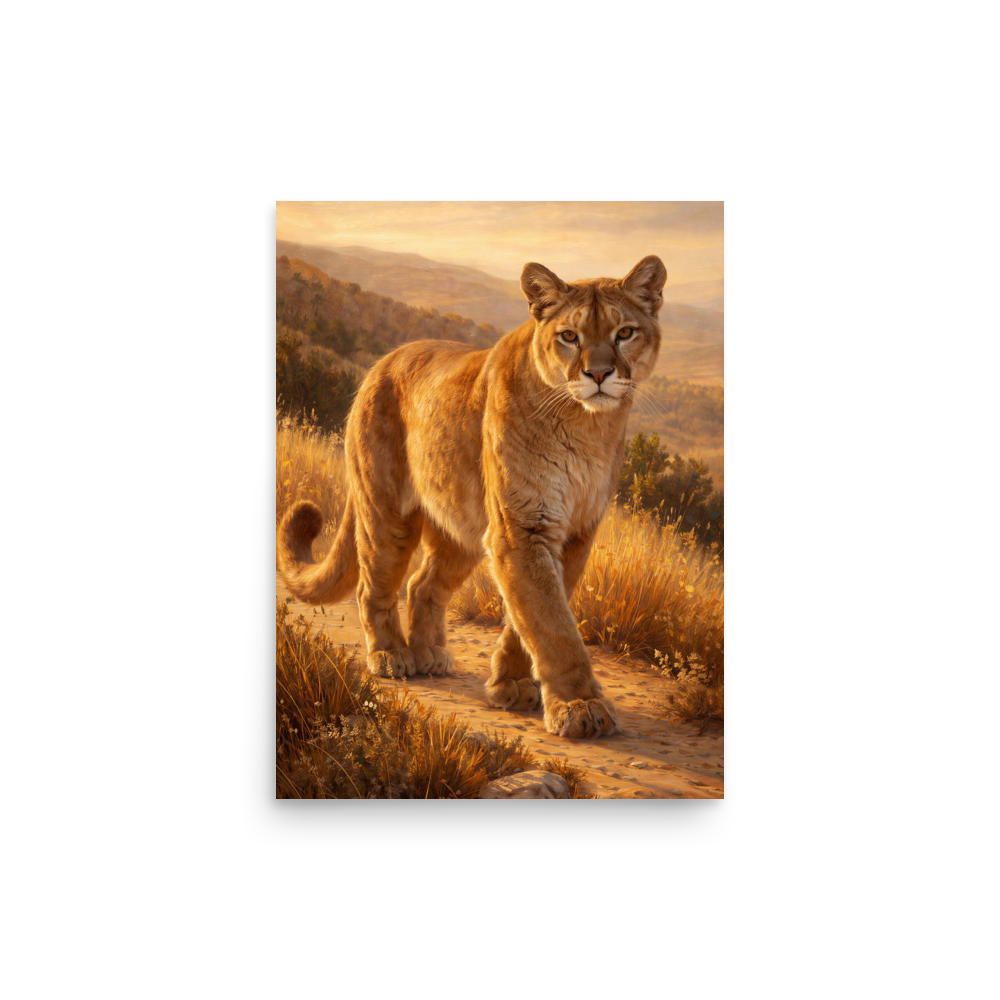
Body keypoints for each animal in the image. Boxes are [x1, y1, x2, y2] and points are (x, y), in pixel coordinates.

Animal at [278, 255, 666, 738]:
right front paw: (581, 707)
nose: (598, 374)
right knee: (375, 586)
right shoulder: (523, 527)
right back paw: (391, 656)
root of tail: (381, 363)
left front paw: (512, 685)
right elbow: (553, 624)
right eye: (569, 336)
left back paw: (430, 655)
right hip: (387, 514)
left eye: (624, 333)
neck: (588, 425)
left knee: (423, 585)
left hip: (460, 528)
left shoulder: (574, 533)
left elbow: (532, 616)